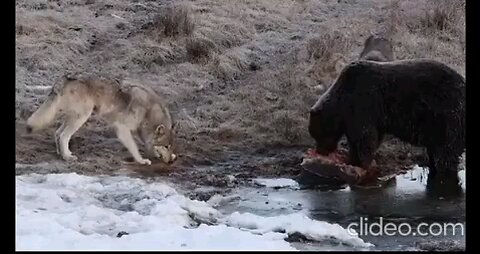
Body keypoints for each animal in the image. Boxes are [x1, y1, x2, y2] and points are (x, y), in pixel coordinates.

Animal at [310, 59, 464, 190]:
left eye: (316, 134)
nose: (320, 151)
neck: (341, 104)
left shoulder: (363, 103)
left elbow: (365, 137)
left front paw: (363, 163)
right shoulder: (363, 116)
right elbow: (361, 138)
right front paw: (353, 160)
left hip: (445, 115)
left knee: (445, 152)